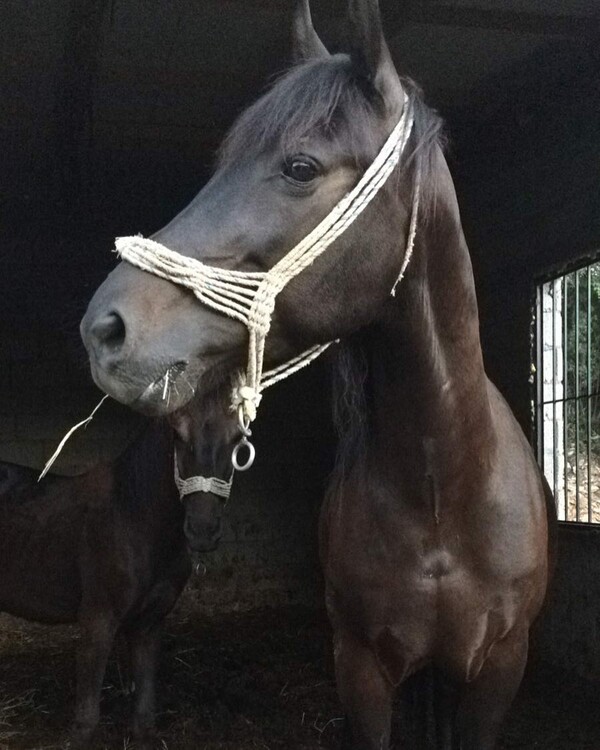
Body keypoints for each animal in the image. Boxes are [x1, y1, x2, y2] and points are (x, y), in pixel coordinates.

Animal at [0, 396, 237, 748]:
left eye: (239, 443)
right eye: (178, 437)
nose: (203, 531)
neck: (134, 515)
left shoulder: (148, 624)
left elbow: (144, 714)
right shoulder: (98, 620)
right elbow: (86, 720)